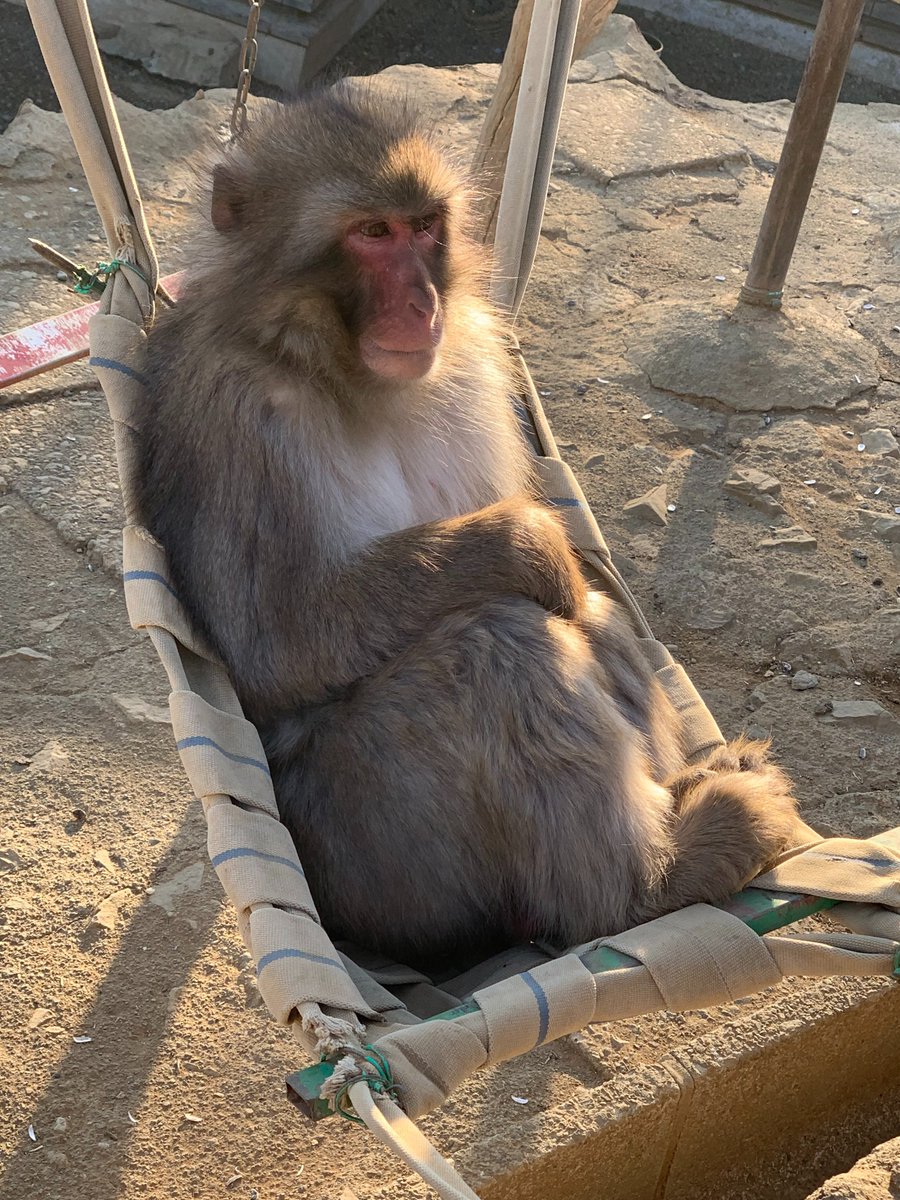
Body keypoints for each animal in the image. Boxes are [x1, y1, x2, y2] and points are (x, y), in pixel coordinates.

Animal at [135, 82, 805, 968]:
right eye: (372, 233)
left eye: (424, 227)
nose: (422, 302)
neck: (339, 372)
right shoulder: (235, 416)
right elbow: (281, 644)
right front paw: (533, 547)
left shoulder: (476, 358)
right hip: (384, 849)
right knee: (499, 641)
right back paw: (645, 887)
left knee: (594, 617)